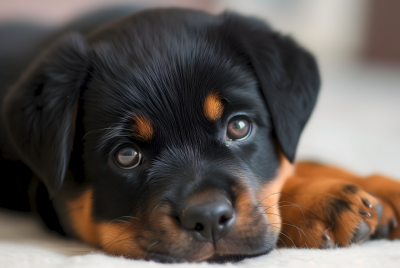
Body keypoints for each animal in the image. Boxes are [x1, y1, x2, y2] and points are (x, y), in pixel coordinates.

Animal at [0, 7, 400, 262]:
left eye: (238, 126)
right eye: (126, 155)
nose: (208, 219)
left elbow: (300, 161)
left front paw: (382, 187)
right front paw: (323, 202)